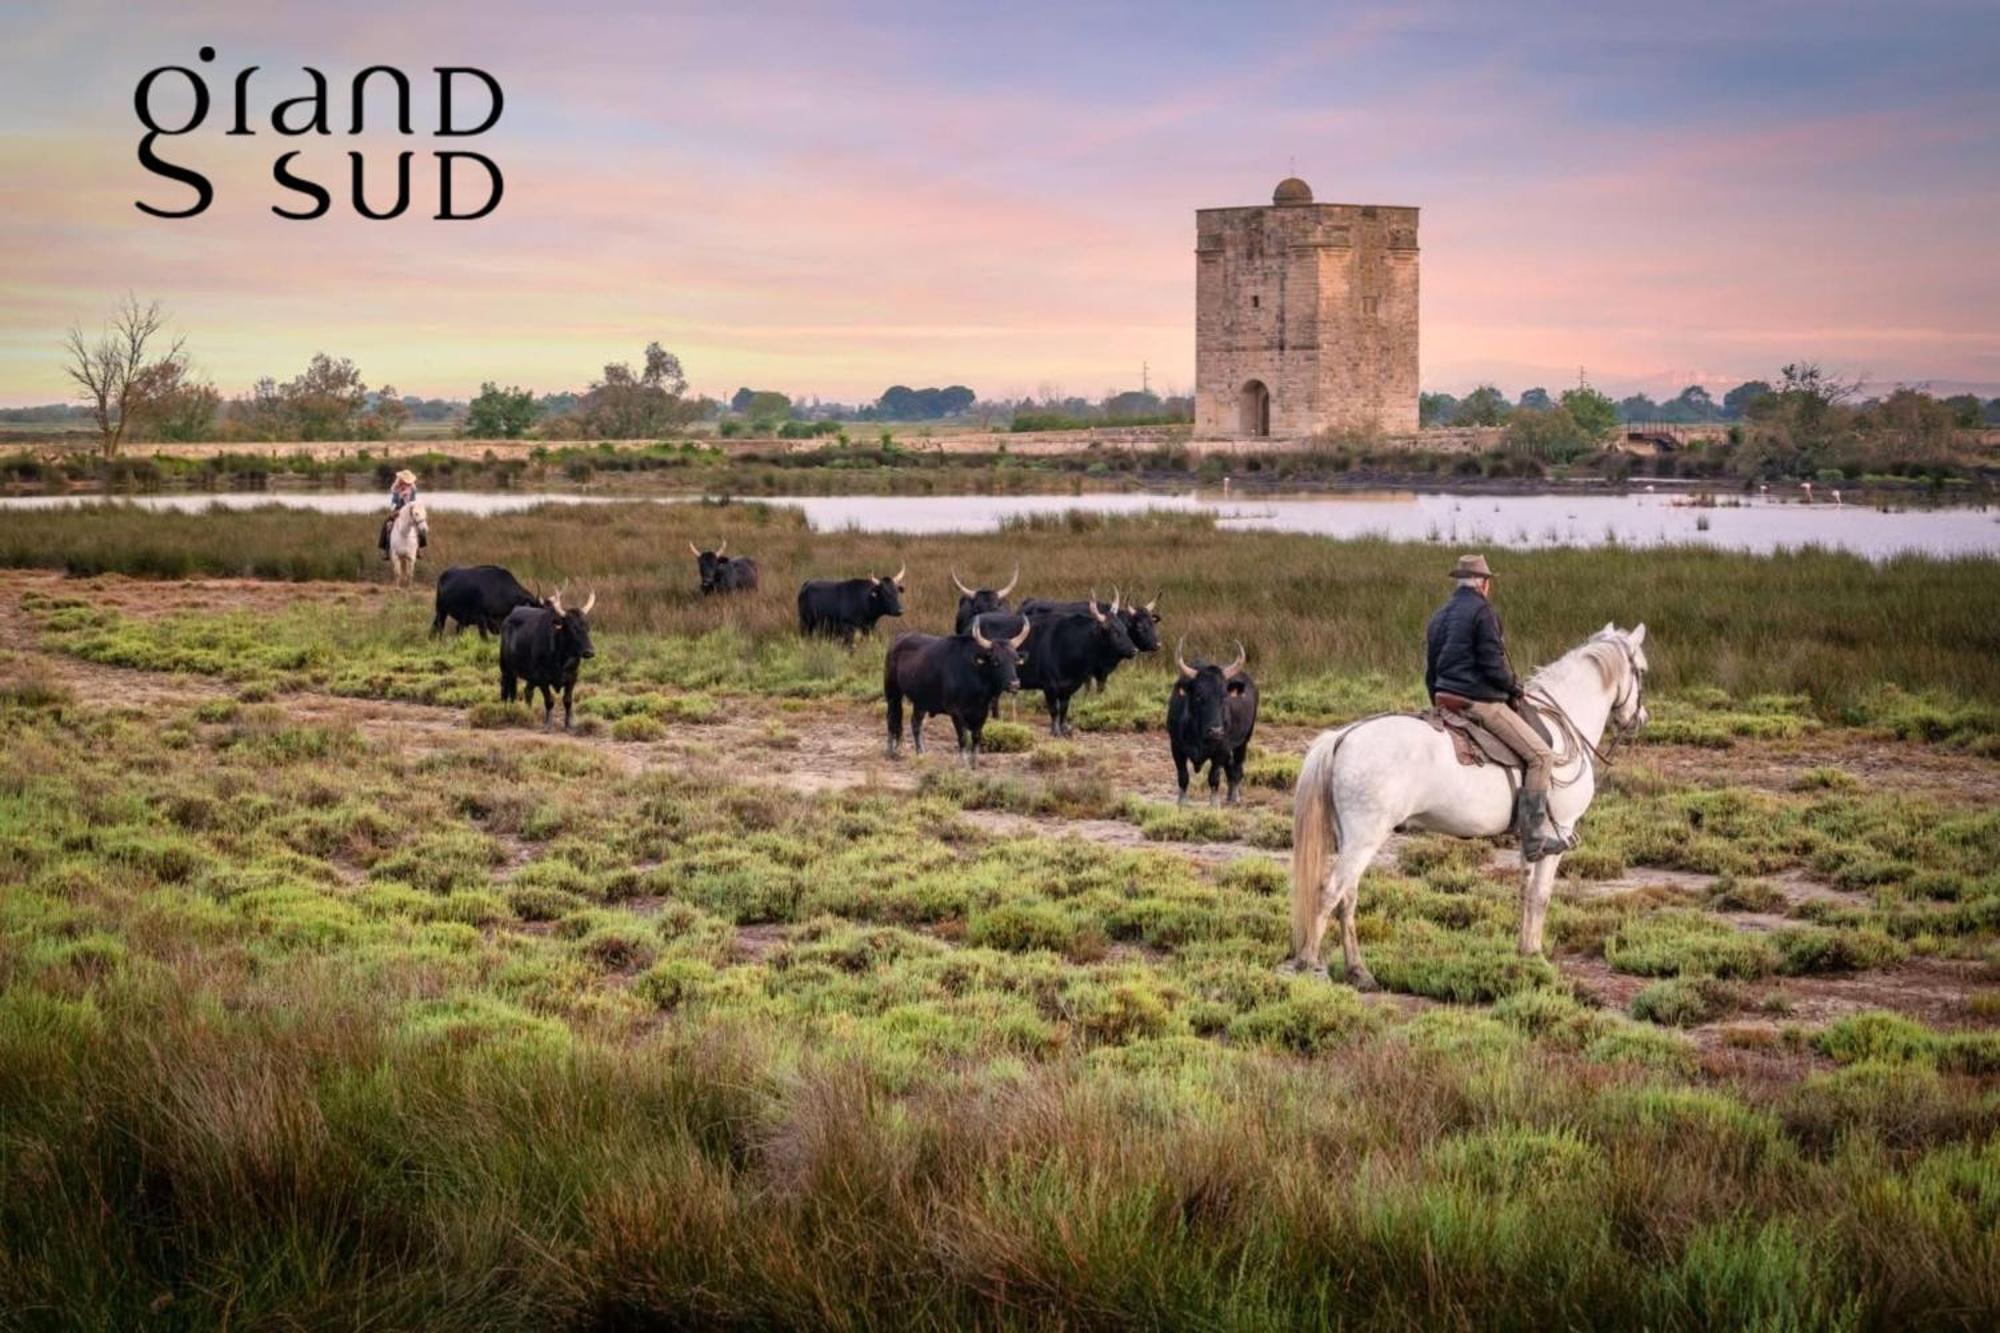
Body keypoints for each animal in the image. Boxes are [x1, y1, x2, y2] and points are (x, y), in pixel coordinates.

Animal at [1288, 624, 1648, 984]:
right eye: (1642, 671)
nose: (1640, 719)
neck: (1561, 727)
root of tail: (1342, 736)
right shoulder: (1558, 830)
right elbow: (1541, 894)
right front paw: (1537, 956)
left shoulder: (1531, 838)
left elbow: (1525, 890)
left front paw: (1523, 952)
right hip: (1365, 837)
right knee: (1330, 892)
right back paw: (1308, 964)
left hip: (1351, 839)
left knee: (1348, 896)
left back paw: (1358, 971)